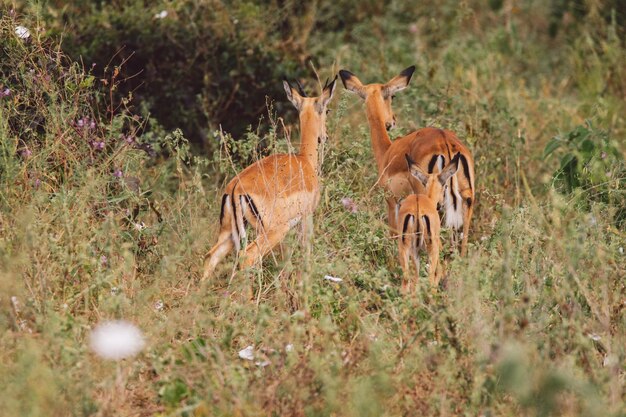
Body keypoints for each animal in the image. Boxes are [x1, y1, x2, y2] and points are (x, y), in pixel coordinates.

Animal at [201, 78, 336, 280]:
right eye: (327, 110)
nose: (325, 136)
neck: (305, 160)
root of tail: (235, 189)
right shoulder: (307, 217)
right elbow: (306, 251)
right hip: (273, 232)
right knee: (247, 257)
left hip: (229, 233)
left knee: (211, 256)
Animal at [342, 66, 472, 255]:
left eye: (392, 96)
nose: (392, 121)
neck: (387, 151)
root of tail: (445, 142)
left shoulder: (392, 201)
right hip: (466, 201)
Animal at [394, 151, 458, 290]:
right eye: (445, 186)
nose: (440, 205)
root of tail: (417, 211)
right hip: (430, 249)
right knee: (429, 279)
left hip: (406, 248)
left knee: (408, 281)